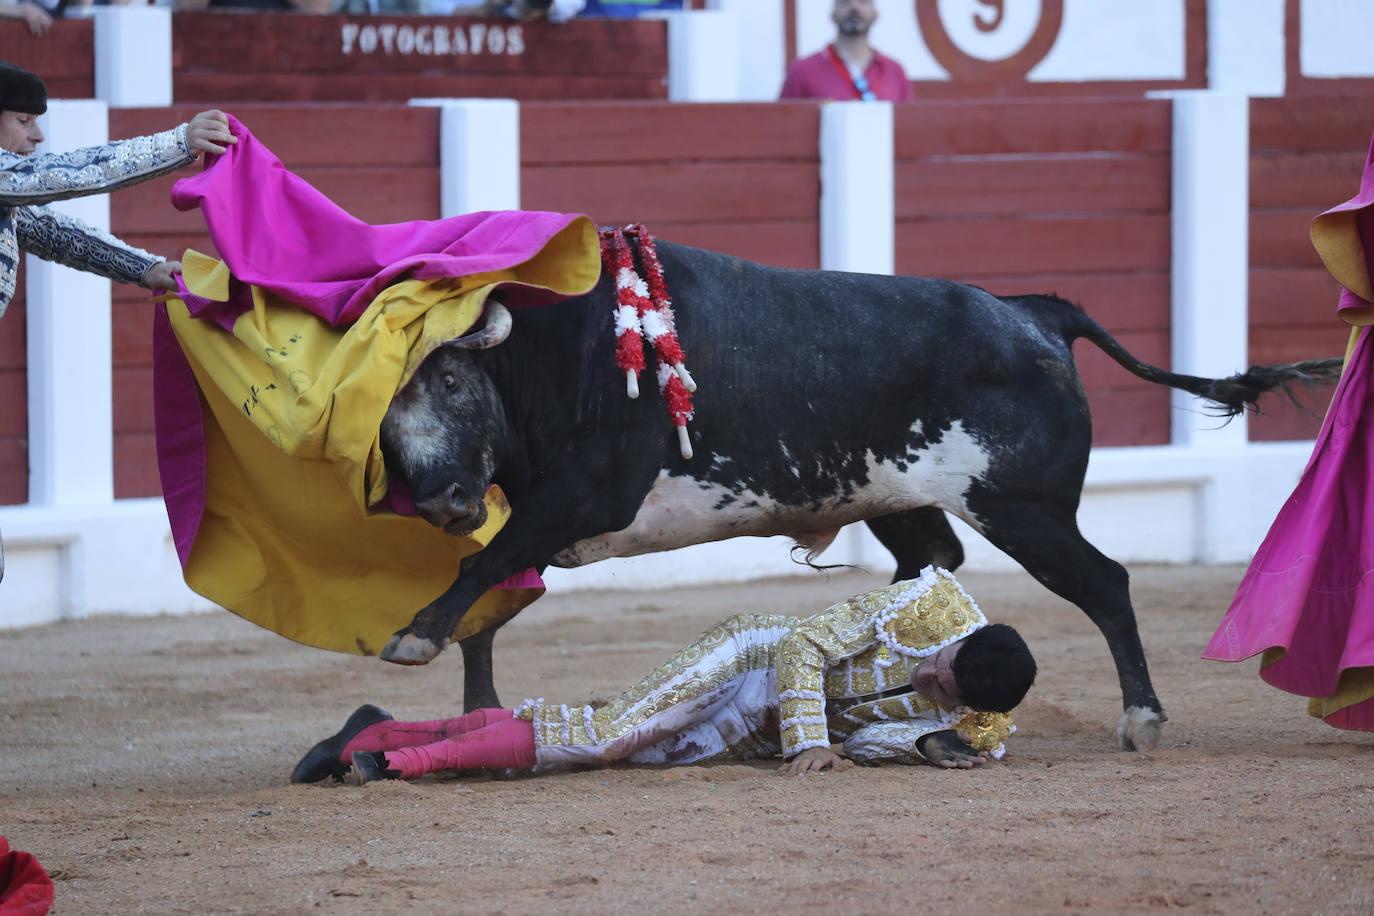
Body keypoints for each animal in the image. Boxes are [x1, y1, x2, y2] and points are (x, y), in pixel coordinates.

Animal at [376, 238, 1341, 752]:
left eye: (453, 384)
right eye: (386, 422)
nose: (446, 501)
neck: (557, 355)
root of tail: (1033, 311)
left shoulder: (585, 496)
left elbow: (489, 568)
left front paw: (412, 638)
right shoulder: (551, 514)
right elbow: (491, 600)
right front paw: (472, 701)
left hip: (1025, 509)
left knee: (1104, 582)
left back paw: (1142, 718)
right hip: (905, 502)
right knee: (937, 561)